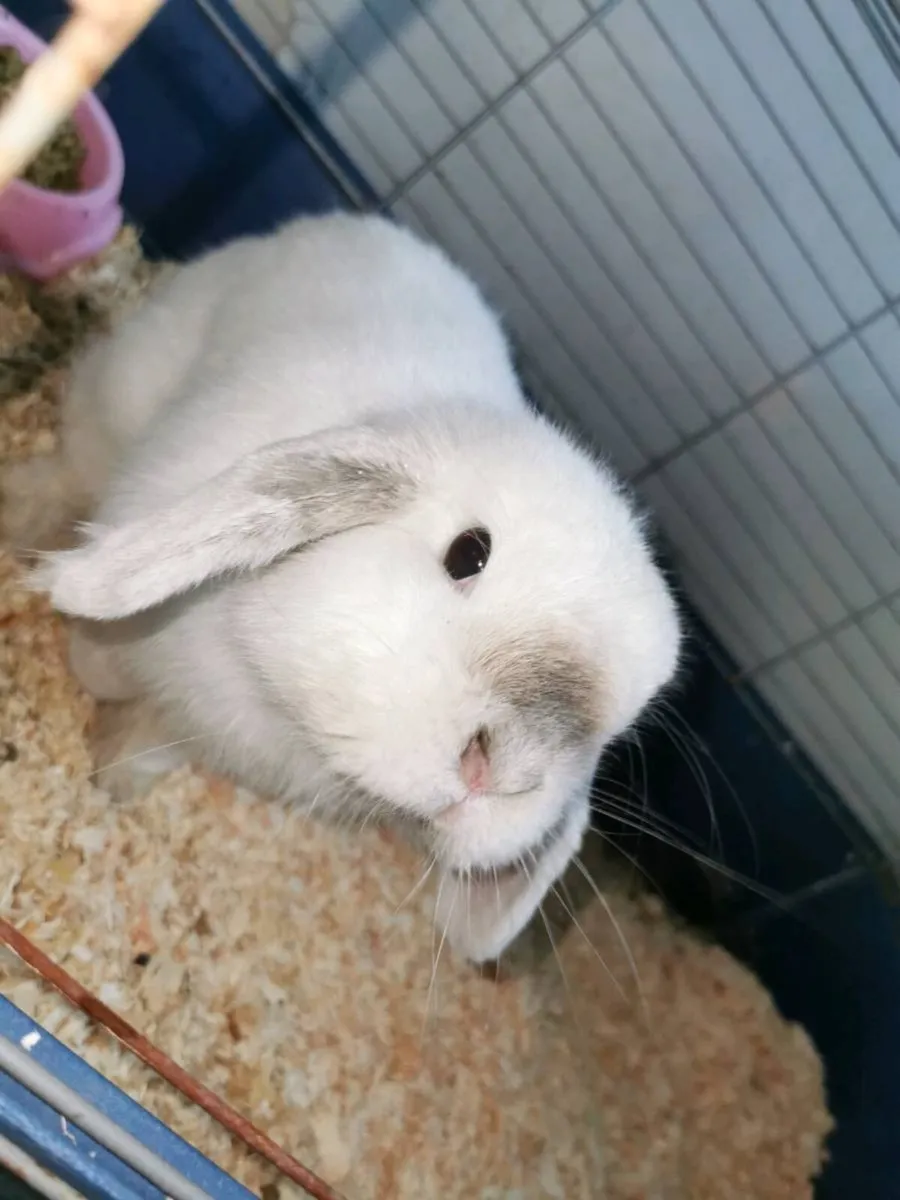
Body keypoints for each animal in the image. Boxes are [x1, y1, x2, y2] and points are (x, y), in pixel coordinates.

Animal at [7, 211, 682, 964]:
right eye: (467, 553)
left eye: (615, 729)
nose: (500, 774)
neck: (280, 706)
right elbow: (105, 661)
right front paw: (82, 661)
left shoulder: (199, 729)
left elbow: (155, 741)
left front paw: (114, 777)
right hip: (120, 388)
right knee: (72, 463)